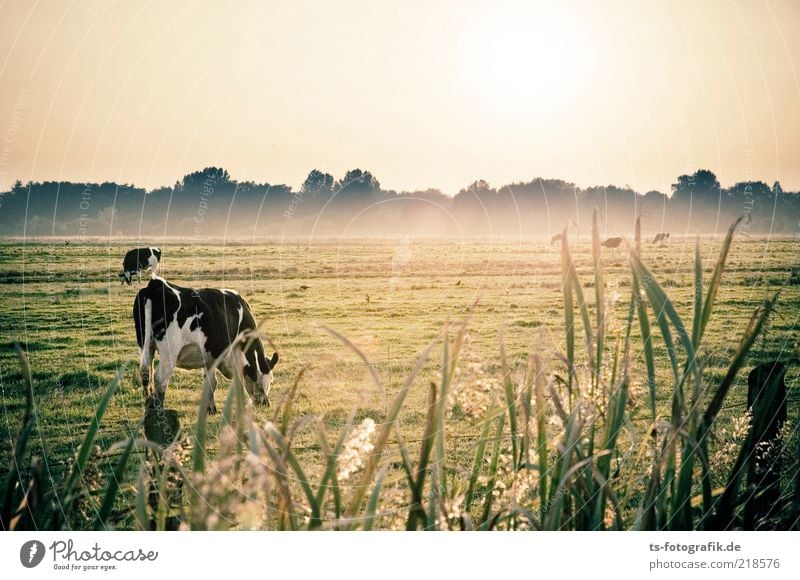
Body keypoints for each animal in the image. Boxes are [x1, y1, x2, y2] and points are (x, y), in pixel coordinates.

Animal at [133, 276, 280, 412]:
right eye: (269, 381)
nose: (265, 403)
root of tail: (155, 284)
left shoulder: (210, 357)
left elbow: (211, 382)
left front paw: (210, 408)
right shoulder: (232, 357)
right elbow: (237, 381)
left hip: (145, 345)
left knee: (145, 371)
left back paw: (149, 404)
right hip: (169, 352)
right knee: (160, 378)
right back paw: (159, 411)